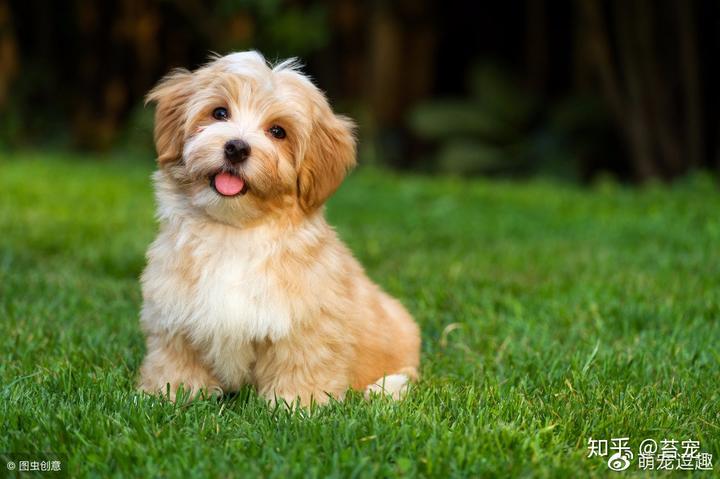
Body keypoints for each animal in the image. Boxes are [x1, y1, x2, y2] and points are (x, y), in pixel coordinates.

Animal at [139, 52, 422, 404]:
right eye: (219, 113)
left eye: (278, 131)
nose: (236, 147)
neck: (235, 230)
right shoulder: (175, 314)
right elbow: (176, 358)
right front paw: (170, 393)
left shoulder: (306, 323)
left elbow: (301, 363)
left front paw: (296, 404)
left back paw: (385, 387)